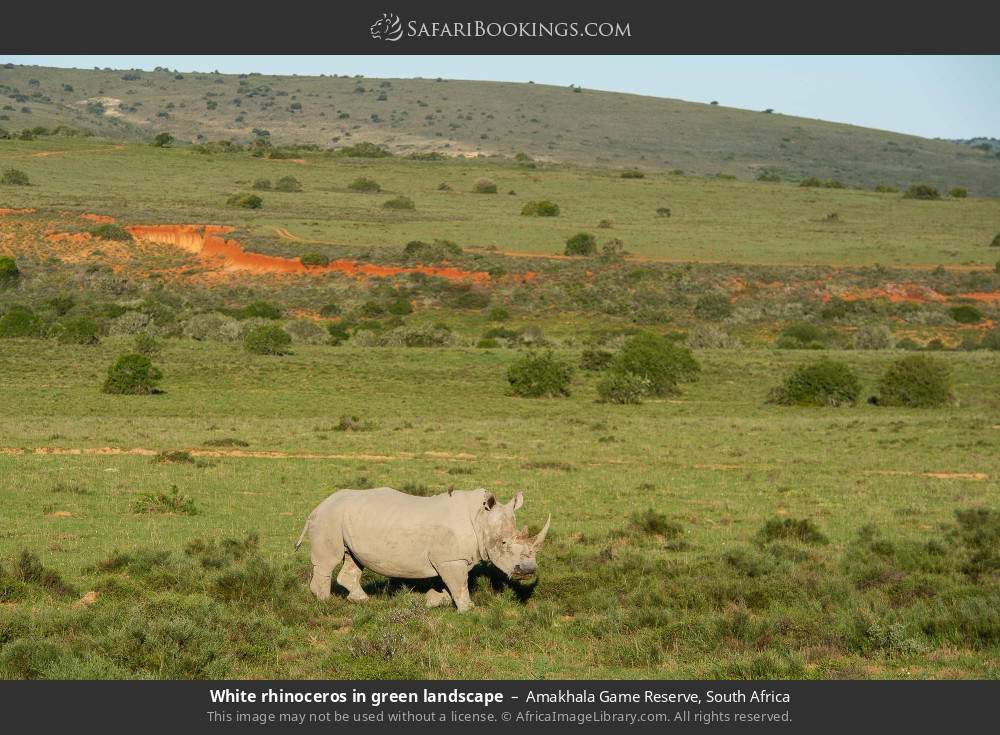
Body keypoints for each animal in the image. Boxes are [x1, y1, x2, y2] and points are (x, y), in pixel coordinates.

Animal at [296, 487, 550, 612]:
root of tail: (317, 507)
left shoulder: (454, 559)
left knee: (353, 560)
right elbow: (459, 584)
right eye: (504, 543)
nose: (528, 570)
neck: (480, 518)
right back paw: (324, 602)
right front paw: (469, 609)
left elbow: (453, 584)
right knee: (328, 561)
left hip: (347, 519)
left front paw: (434, 600)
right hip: (329, 518)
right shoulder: (451, 560)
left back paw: (362, 600)